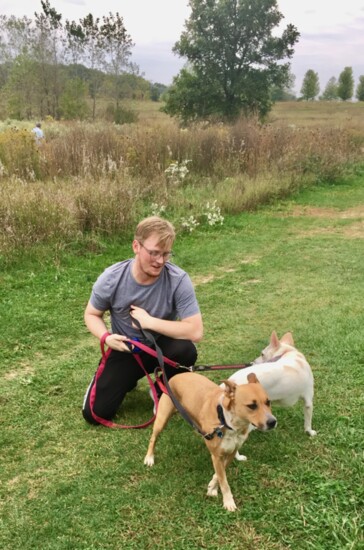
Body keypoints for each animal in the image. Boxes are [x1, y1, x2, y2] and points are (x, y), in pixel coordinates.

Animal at [144, 370, 276, 512]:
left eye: (268, 402)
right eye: (252, 406)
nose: (273, 422)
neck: (226, 421)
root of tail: (176, 375)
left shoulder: (229, 452)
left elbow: (219, 474)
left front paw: (212, 487)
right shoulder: (217, 456)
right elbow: (224, 481)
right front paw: (228, 501)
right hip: (162, 419)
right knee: (153, 438)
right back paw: (149, 457)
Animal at [226, 332, 314, 462]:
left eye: (262, 354)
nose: (253, 362)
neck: (288, 352)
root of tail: (231, 383)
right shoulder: (308, 402)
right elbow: (308, 422)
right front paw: (310, 432)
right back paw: (239, 457)